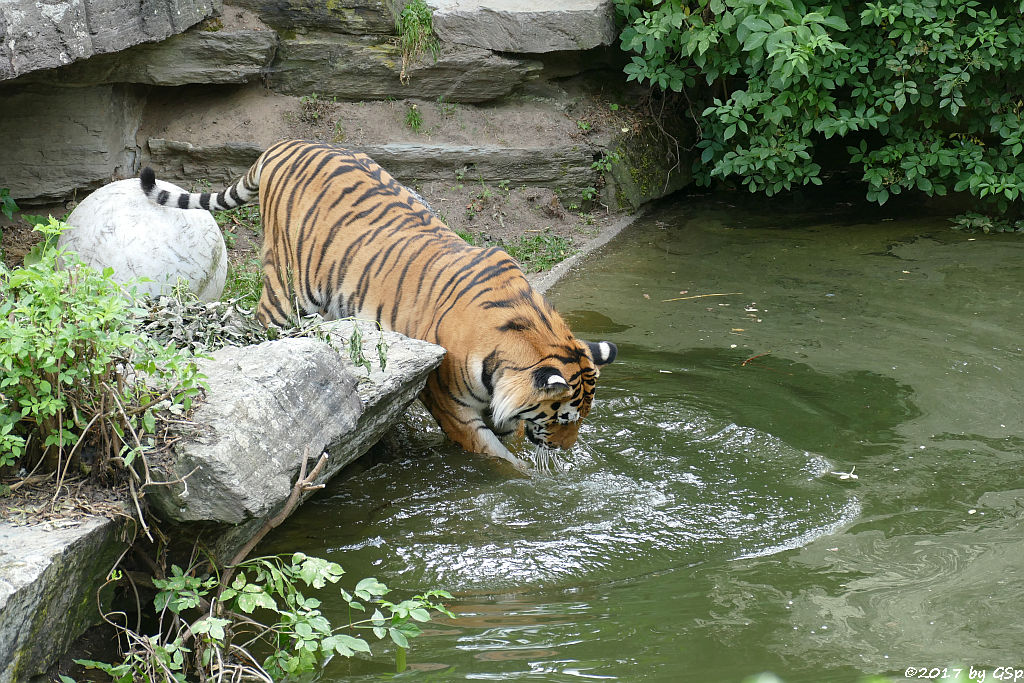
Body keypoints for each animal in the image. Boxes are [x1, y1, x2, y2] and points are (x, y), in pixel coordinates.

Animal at [138, 139, 614, 471]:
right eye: (564, 419)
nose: (568, 451)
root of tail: (283, 144)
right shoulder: (454, 408)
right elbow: (503, 461)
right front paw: (536, 486)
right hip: (285, 290)